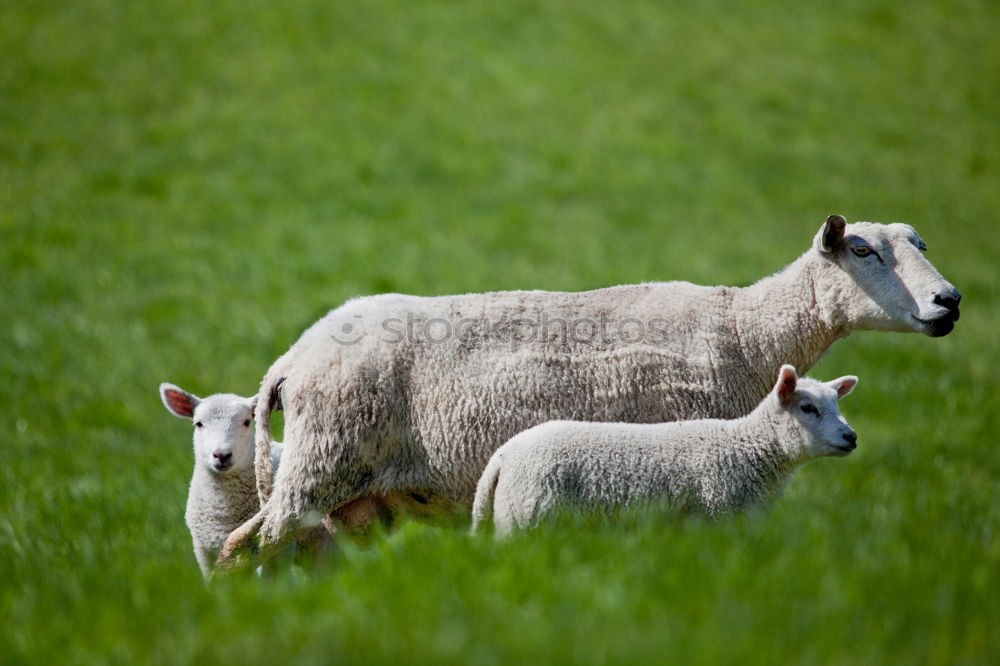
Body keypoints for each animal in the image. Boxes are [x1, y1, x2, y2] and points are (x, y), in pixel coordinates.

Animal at [472, 364, 856, 536]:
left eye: (837, 404)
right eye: (807, 408)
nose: (851, 437)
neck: (746, 446)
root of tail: (503, 456)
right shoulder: (718, 513)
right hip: (527, 516)